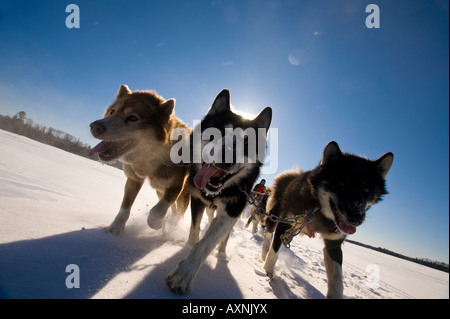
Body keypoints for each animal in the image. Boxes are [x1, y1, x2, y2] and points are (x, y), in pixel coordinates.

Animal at [89, 85, 190, 235]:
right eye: (112, 112)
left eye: (132, 117)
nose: (95, 126)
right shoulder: (133, 180)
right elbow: (124, 209)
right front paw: (114, 229)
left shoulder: (176, 186)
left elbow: (156, 211)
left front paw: (157, 224)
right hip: (159, 190)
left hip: (183, 194)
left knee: (178, 213)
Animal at [165, 89, 270, 296]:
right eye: (218, 132)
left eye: (247, 142)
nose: (227, 156)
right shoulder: (197, 200)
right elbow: (195, 231)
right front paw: (187, 246)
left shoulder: (231, 211)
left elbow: (207, 242)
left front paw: (183, 275)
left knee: (223, 235)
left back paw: (221, 254)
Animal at [262, 141, 392, 298]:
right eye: (342, 184)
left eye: (367, 190)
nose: (355, 218)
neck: (319, 210)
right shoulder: (285, 224)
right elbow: (274, 251)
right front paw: (268, 272)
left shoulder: (333, 244)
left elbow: (337, 278)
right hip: (274, 218)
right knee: (267, 234)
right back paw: (263, 253)